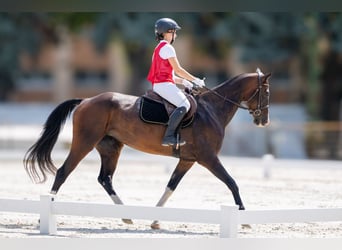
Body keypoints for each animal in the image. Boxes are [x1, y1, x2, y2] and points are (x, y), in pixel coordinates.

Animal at [23, 67, 270, 228]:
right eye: (266, 92)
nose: (264, 121)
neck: (212, 109)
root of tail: (86, 100)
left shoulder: (187, 160)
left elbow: (171, 186)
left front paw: (155, 220)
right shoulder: (208, 158)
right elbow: (232, 182)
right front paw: (244, 219)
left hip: (111, 148)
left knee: (105, 179)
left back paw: (126, 215)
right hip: (84, 143)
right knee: (63, 172)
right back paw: (44, 216)